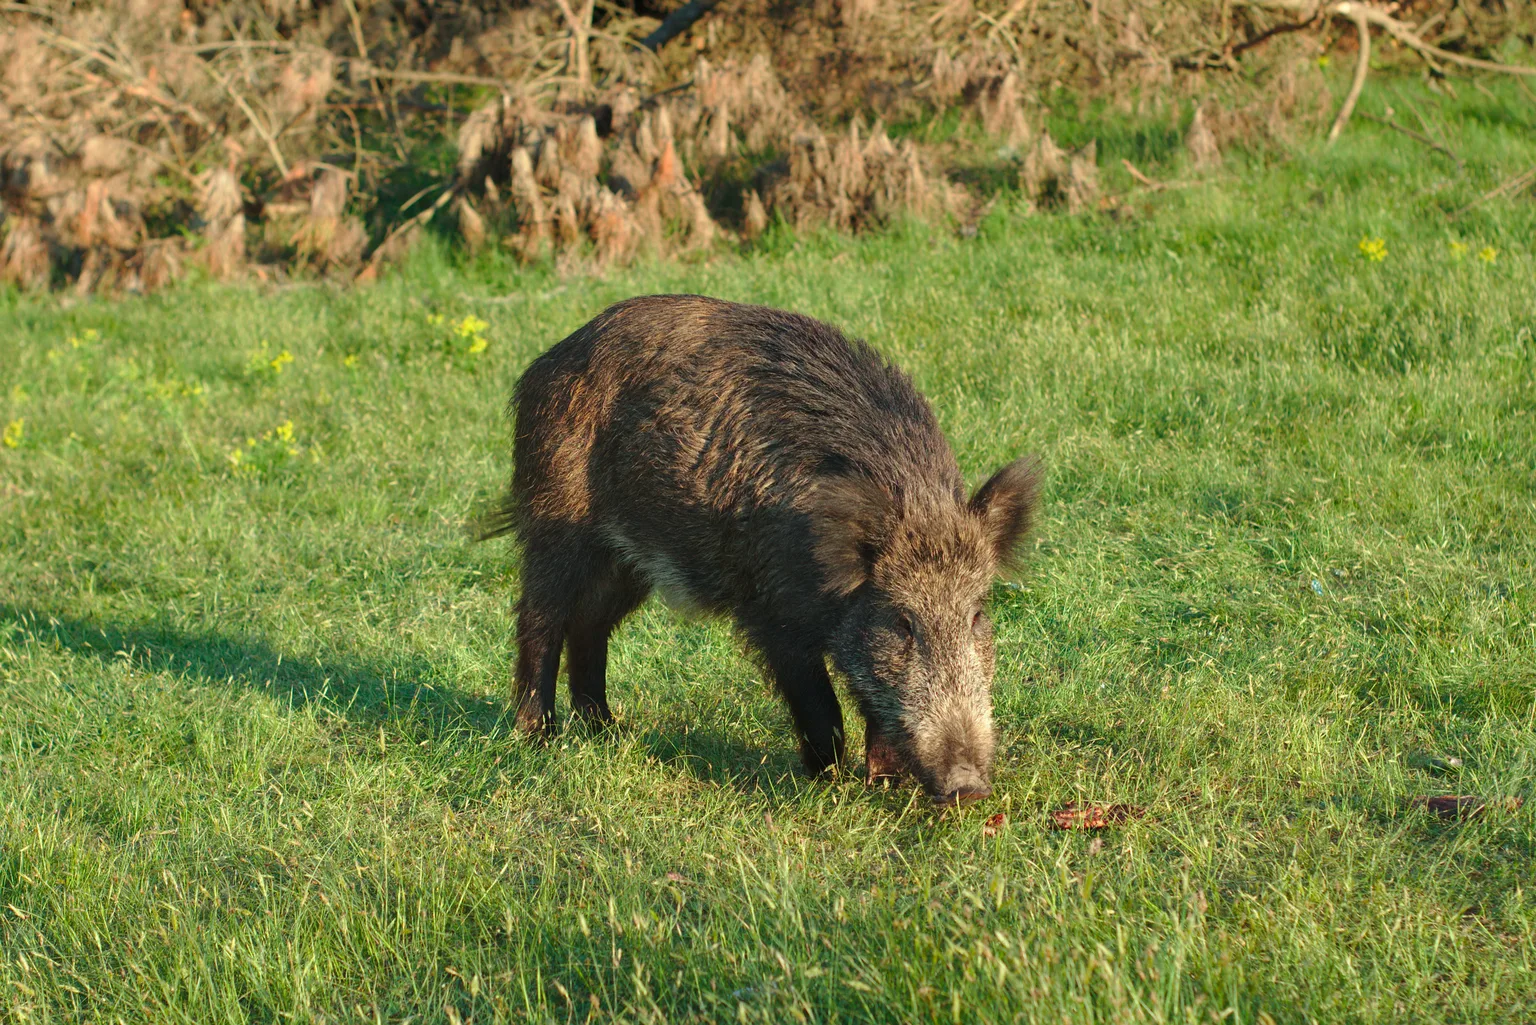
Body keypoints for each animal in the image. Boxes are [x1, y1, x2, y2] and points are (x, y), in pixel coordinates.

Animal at [479, 294, 1040, 805]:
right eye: (902, 622)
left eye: (977, 615)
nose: (968, 788)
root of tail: (546, 362)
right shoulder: (772, 611)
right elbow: (821, 703)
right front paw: (829, 782)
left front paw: (884, 783)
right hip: (557, 517)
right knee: (539, 617)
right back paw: (539, 737)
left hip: (628, 563)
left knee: (590, 625)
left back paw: (608, 731)